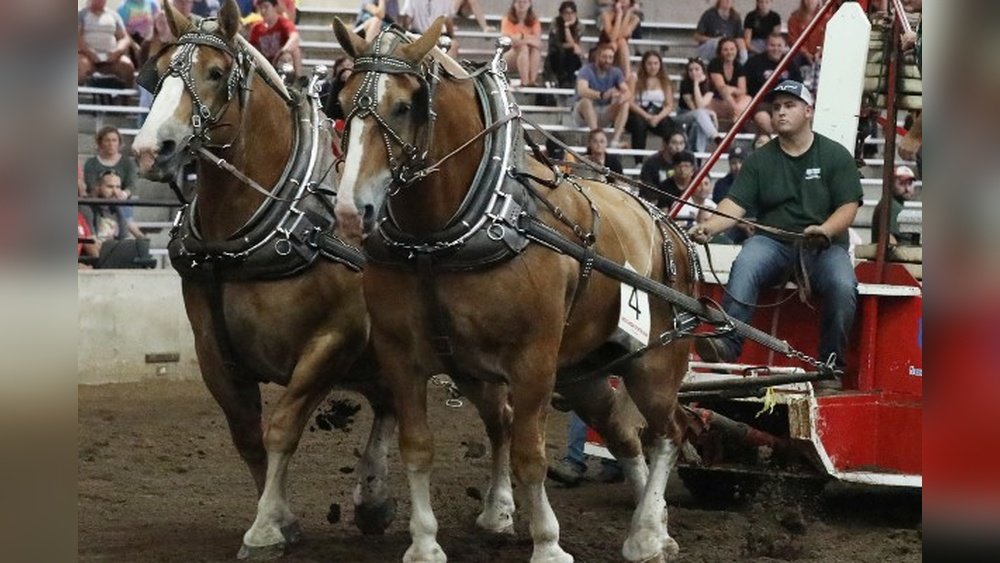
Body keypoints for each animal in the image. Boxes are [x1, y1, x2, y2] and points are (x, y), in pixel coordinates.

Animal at [131, 1, 399, 557]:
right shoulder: (213, 351)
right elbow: (247, 436)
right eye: (159, 71)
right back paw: (373, 500)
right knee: (390, 402)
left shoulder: (334, 340)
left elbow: (281, 428)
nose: (149, 149)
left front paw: (266, 529)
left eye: (215, 74)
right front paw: (281, 518)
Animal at [333, 17, 698, 563]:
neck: (442, 239)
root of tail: (664, 222)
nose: (351, 212)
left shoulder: (533, 361)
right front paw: (425, 543)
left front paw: (548, 543)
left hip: (653, 363)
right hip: (581, 369)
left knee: (667, 433)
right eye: (339, 101)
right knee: (623, 433)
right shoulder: (402, 356)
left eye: (402, 106)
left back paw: (648, 532)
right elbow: (417, 447)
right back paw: (649, 521)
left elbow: (530, 455)